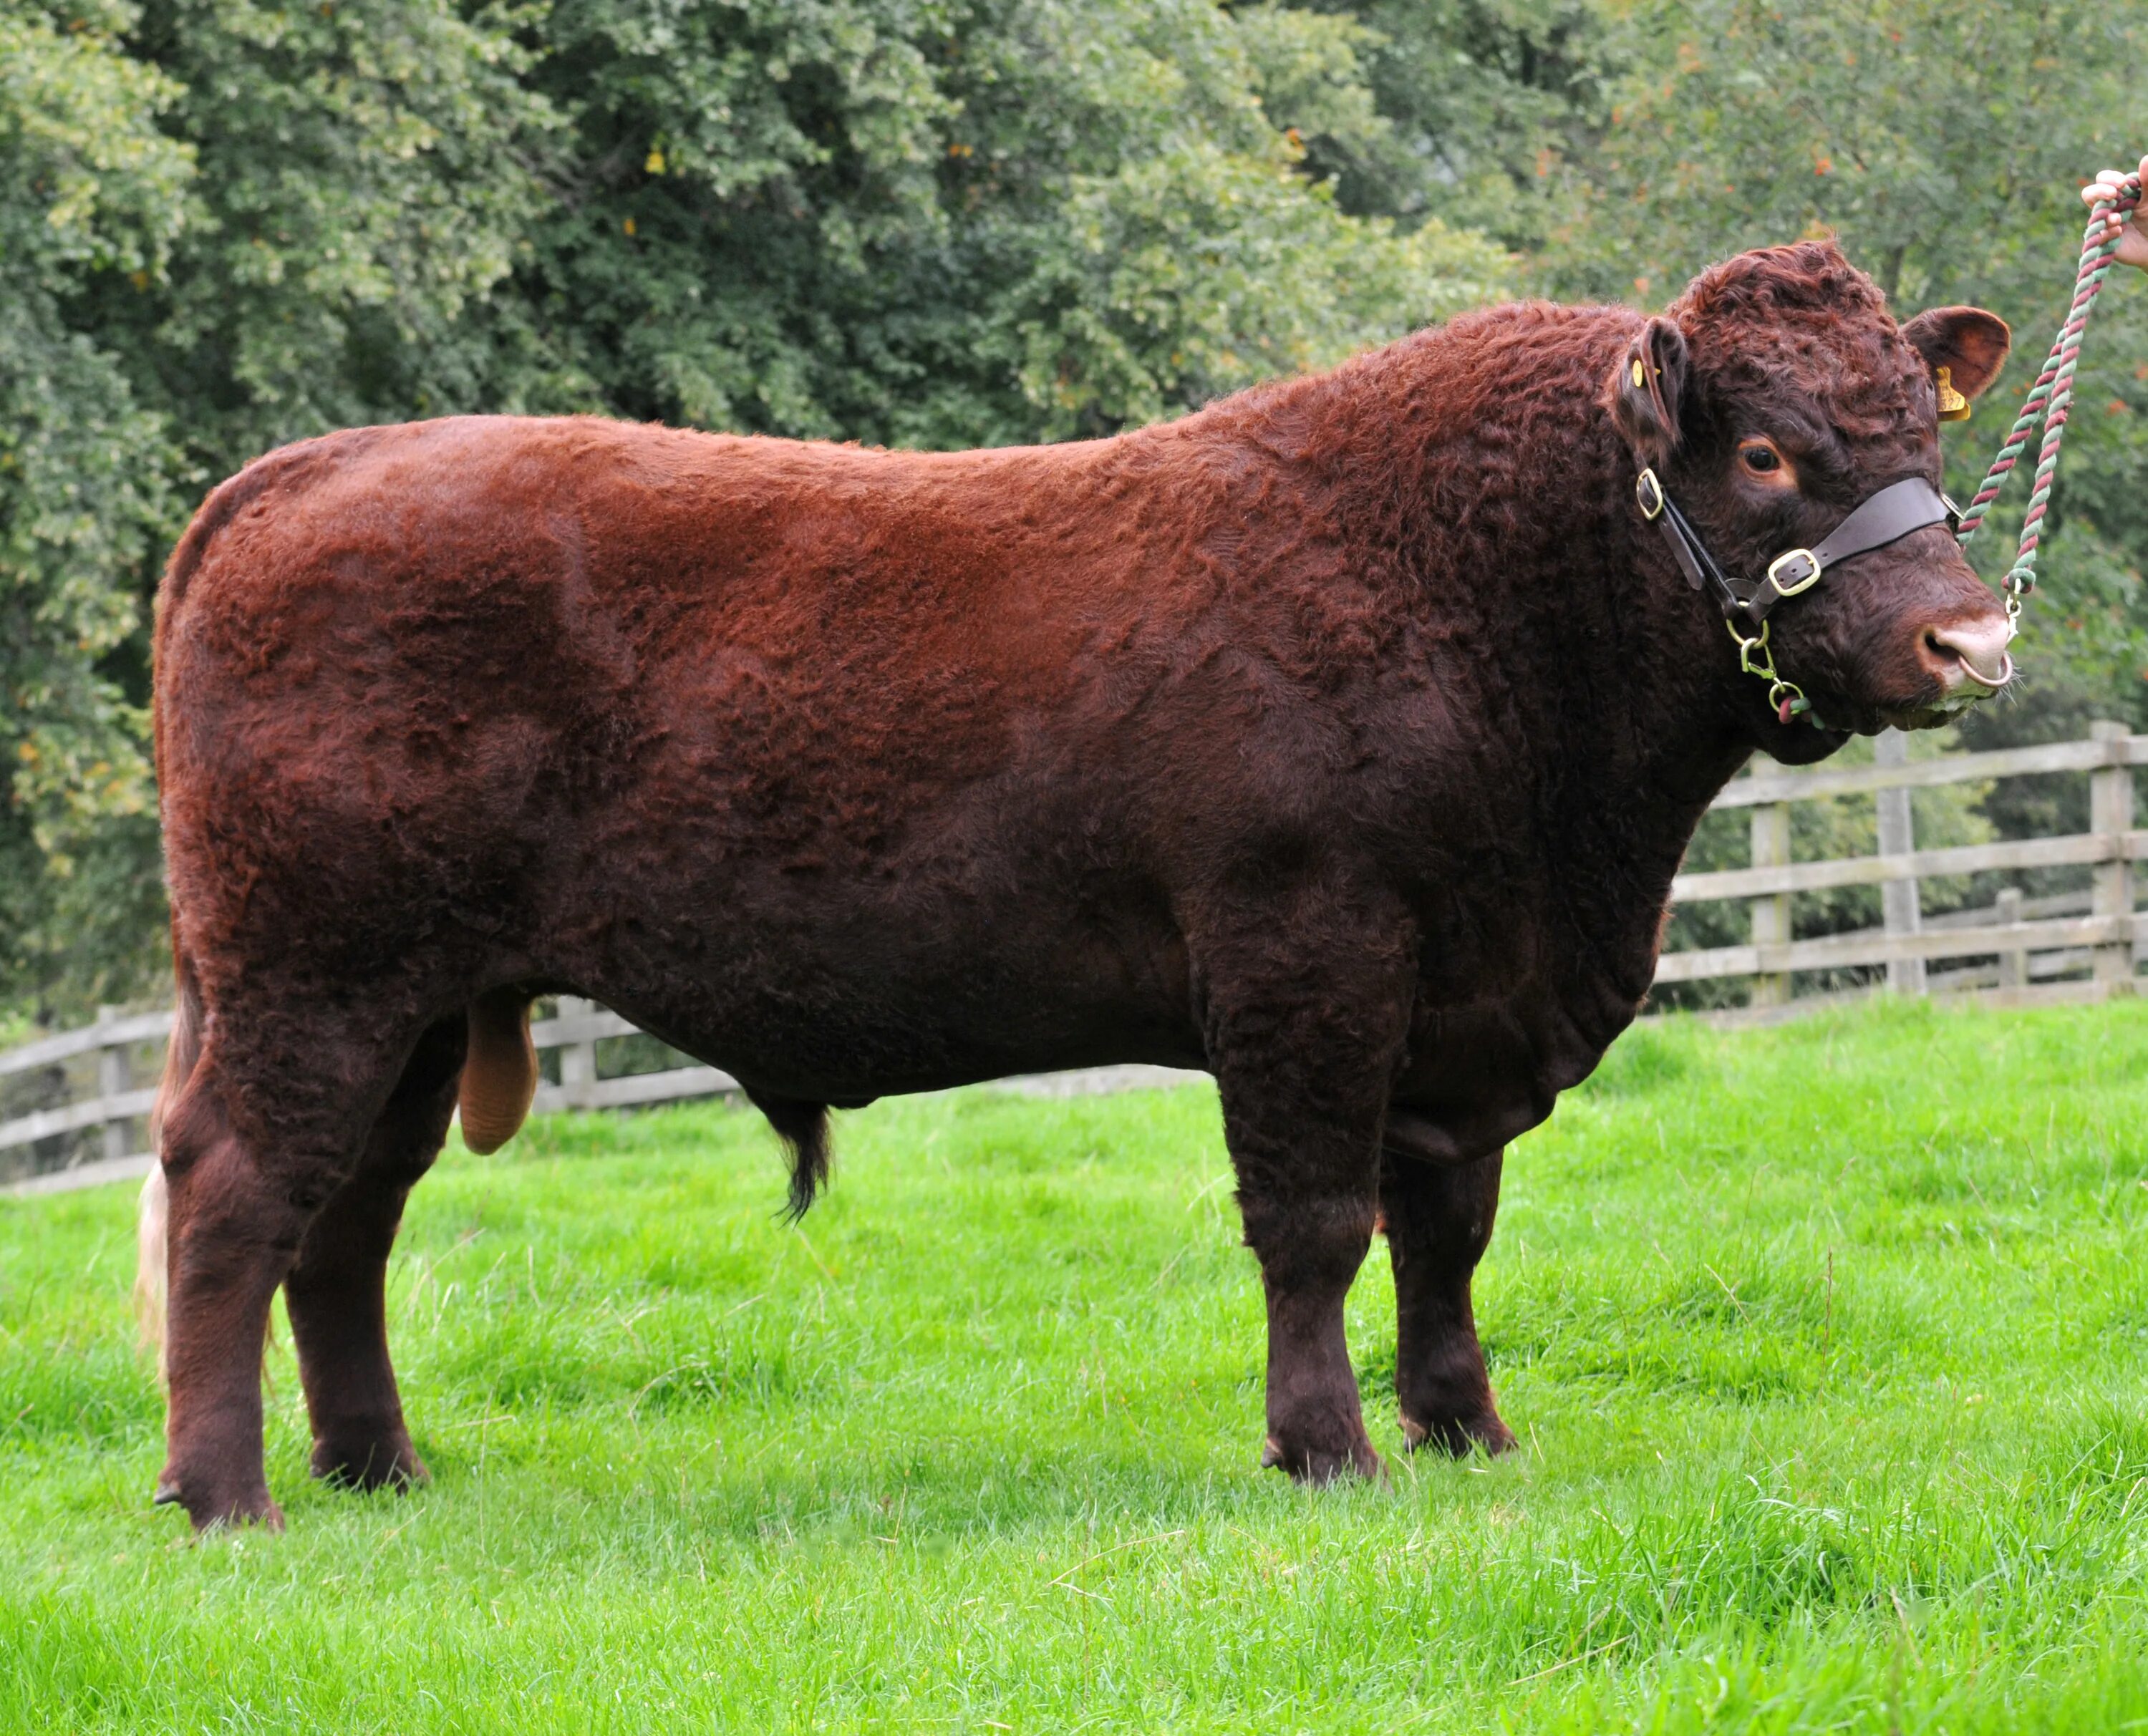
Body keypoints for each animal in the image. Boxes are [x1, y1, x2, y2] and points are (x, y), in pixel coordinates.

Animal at [142, 237, 2002, 1529]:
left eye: (1922, 425)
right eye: (1762, 454)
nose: (1967, 639)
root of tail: (308, 469)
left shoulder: (1459, 1012)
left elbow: (1445, 1229)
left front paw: (1465, 1428)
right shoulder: (1307, 956)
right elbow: (1315, 1223)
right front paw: (1329, 1450)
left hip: (406, 1004)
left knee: (346, 1222)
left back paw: (376, 1469)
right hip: (314, 978)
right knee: (238, 1196)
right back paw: (227, 1499)